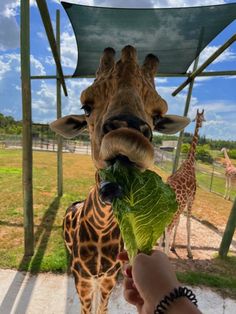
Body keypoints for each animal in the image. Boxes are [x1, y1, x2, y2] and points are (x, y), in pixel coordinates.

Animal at [50, 44, 190, 314]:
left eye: (158, 117)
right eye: (86, 107)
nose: (128, 134)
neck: (102, 229)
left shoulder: (109, 278)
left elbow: (102, 308)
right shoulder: (83, 279)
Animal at [165, 109, 206, 258]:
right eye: (203, 117)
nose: (202, 123)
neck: (190, 162)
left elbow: (179, 223)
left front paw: (173, 246)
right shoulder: (191, 198)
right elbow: (188, 224)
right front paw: (189, 252)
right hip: (177, 208)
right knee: (168, 227)